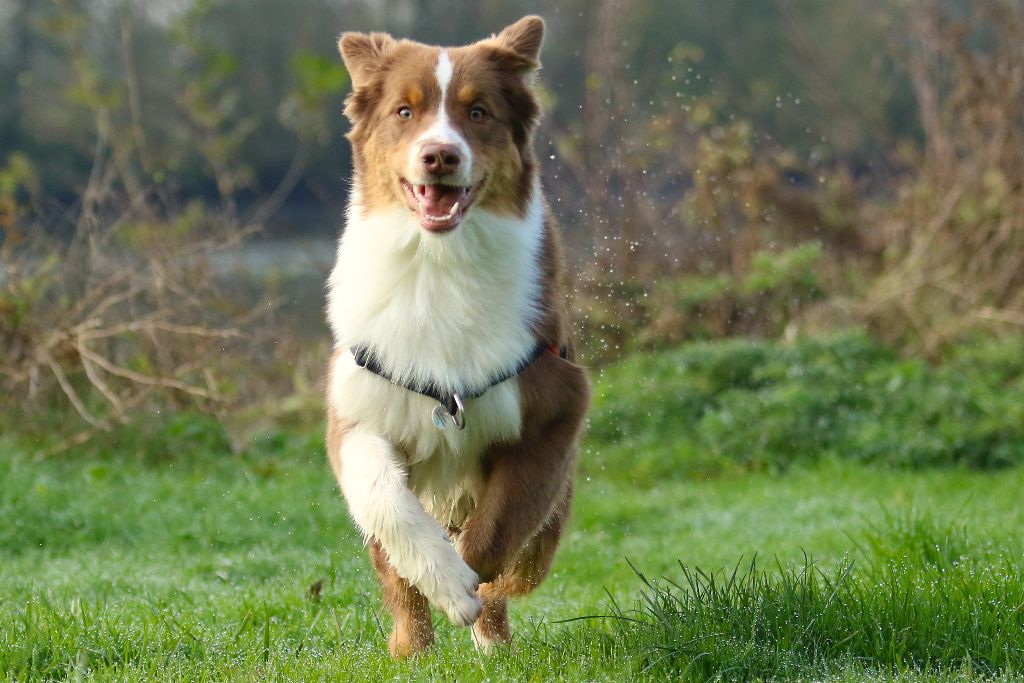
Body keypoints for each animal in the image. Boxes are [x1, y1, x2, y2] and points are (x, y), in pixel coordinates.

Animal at [323, 15, 589, 655]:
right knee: (393, 570)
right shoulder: (358, 411)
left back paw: (493, 646)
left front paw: (464, 587)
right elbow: (386, 504)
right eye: (404, 111)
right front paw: (441, 583)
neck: (436, 263)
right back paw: (411, 650)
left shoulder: (554, 408)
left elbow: (493, 533)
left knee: (517, 563)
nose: (439, 155)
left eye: (478, 112)